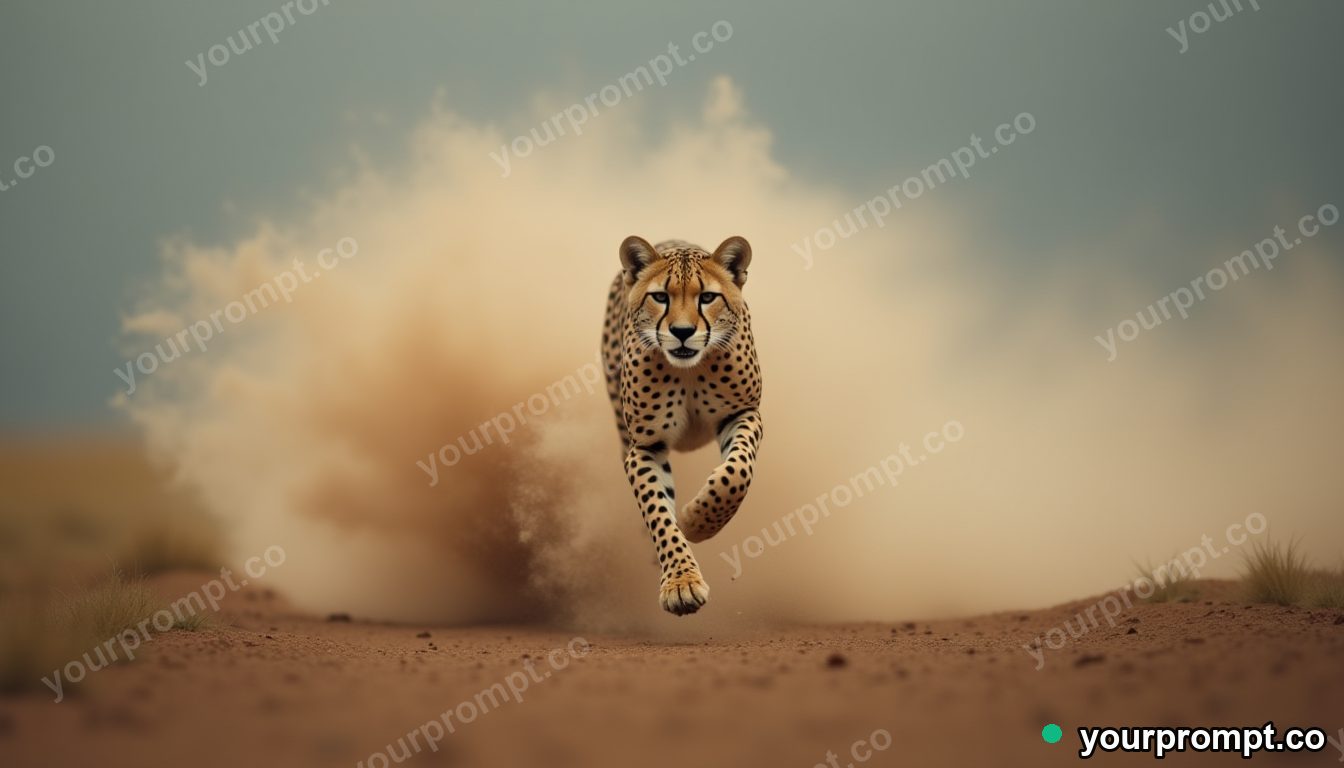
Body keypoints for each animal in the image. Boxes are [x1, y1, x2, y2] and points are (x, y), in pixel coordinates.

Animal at [601, 235, 763, 616]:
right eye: (661, 297)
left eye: (708, 297)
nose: (683, 332)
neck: (690, 369)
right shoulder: (645, 447)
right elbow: (658, 513)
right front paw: (681, 582)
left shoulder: (743, 413)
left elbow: (735, 476)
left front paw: (695, 521)